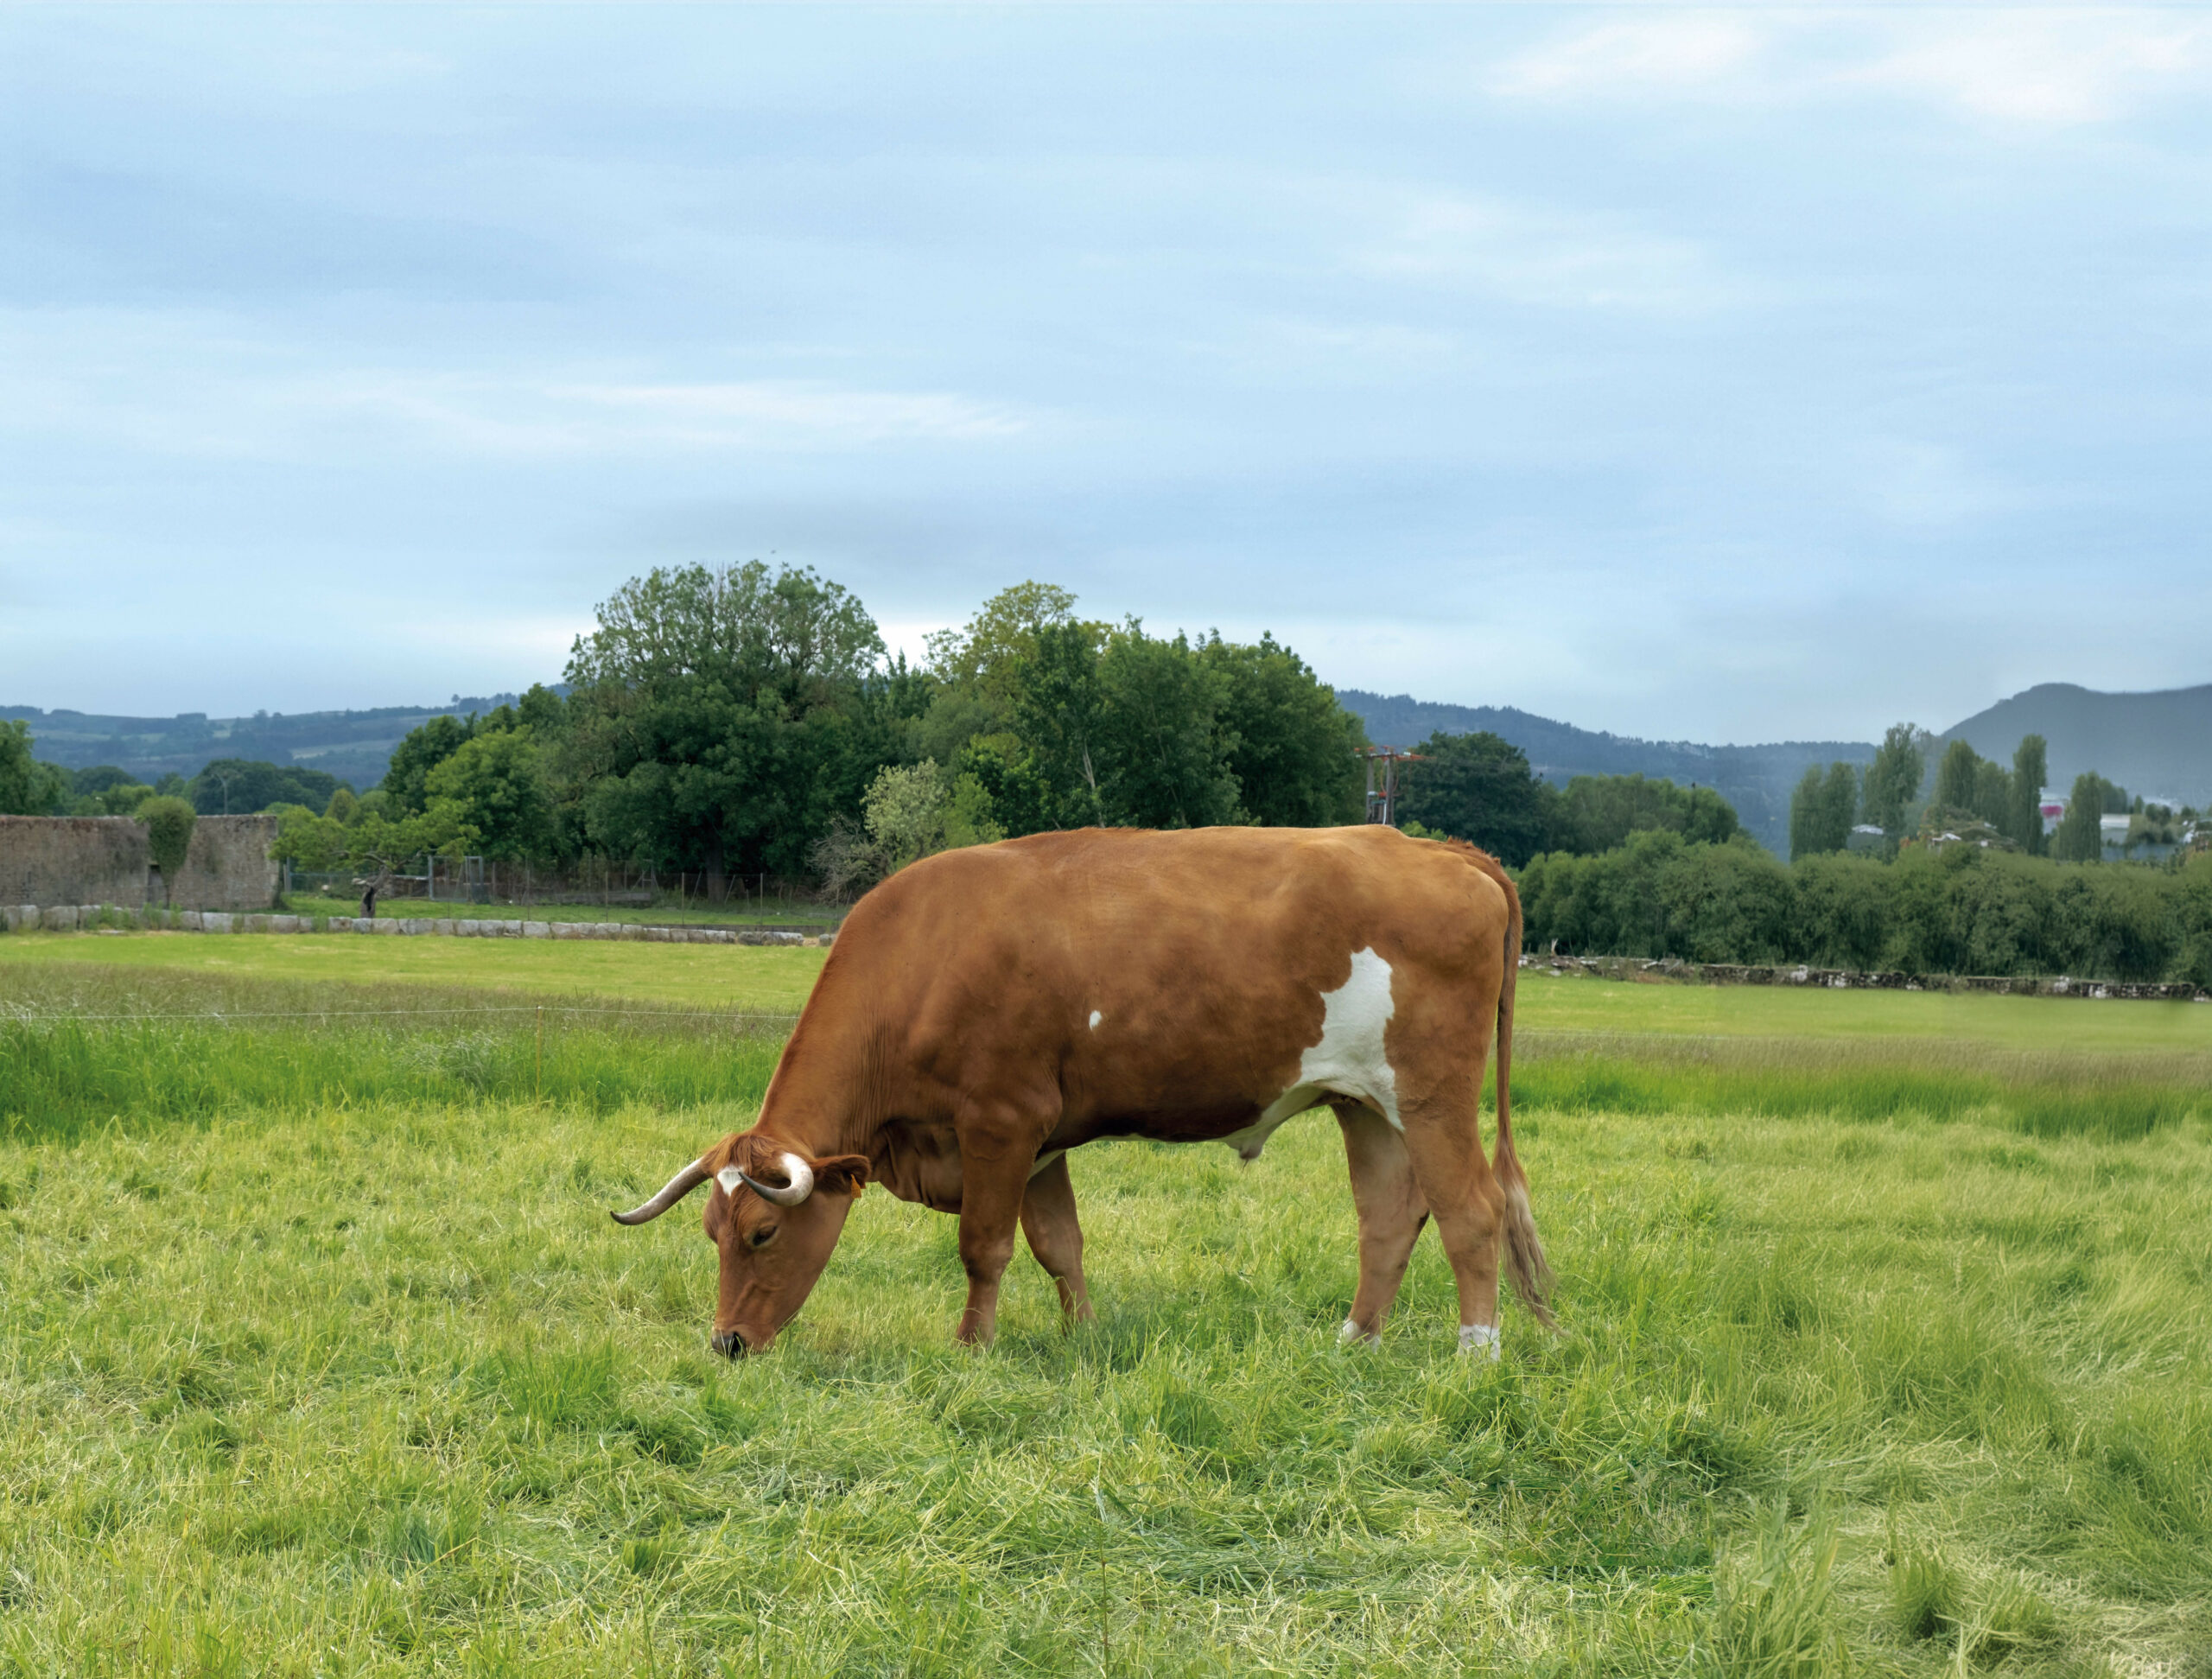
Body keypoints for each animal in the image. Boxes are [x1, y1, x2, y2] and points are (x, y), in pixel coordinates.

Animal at [614, 827, 1557, 1362]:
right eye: (711, 1231)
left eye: (763, 1233)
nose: (727, 1344)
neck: (924, 954)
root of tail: (1440, 848)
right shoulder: (1041, 1142)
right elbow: (1058, 1244)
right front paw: (1082, 1336)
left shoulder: (999, 1124)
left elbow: (985, 1246)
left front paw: (973, 1347)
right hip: (1366, 1102)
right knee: (1390, 1218)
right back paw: (1355, 1342)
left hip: (1432, 1096)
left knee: (1472, 1212)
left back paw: (1477, 1352)